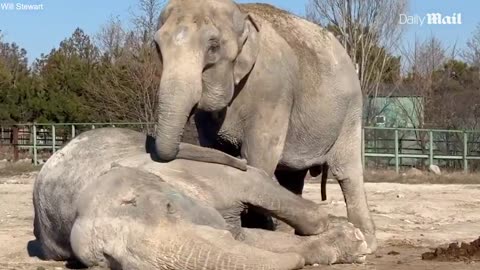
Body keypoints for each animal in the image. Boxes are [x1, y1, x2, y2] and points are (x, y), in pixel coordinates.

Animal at [33, 128, 370, 268]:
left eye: (169, 207)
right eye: (109, 261)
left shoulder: (199, 172)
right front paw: (347, 244)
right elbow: (245, 240)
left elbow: (256, 184)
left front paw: (352, 237)